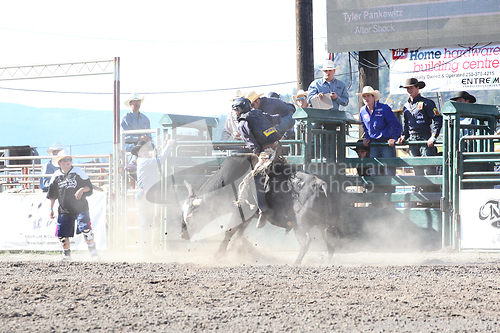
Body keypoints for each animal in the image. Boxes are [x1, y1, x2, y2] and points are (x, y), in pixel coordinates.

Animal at [180, 154, 340, 264]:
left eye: (190, 216)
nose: (183, 234)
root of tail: (320, 184)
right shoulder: (247, 217)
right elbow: (239, 233)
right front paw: (236, 250)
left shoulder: (240, 212)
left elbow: (229, 232)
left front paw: (219, 254)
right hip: (322, 223)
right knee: (330, 241)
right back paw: (327, 262)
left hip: (300, 223)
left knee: (306, 241)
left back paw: (296, 263)